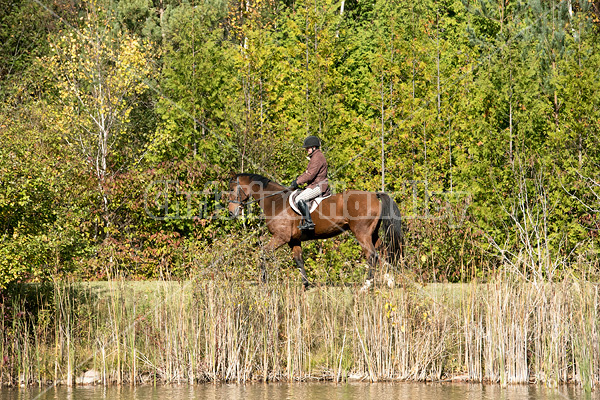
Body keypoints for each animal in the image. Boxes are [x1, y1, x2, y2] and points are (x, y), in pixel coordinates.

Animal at [226, 173, 404, 290]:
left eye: (233, 189)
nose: (231, 213)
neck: (276, 201)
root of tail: (374, 195)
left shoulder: (280, 237)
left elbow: (263, 253)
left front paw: (263, 281)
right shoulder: (293, 240)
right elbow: (299, 260)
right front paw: (306, 285)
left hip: (362, 233)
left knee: (372, 255)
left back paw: (366, 285)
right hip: (373, 234)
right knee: (383, 252)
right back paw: (389, 281)